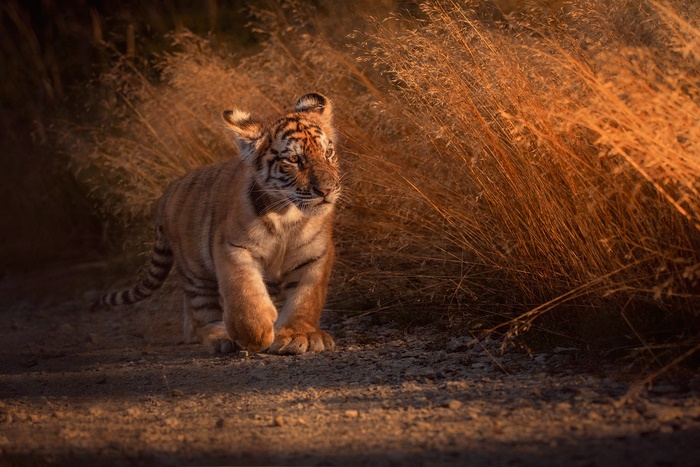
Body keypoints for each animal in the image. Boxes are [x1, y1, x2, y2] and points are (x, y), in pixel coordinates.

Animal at [98, 93, 339, 355]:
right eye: (294, 159)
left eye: (328, 153)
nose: (326, 190)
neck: (287, 215)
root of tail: (165, 197)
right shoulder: (232, 248)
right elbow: (243, 291)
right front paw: (256, 334)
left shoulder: (315, 255)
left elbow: (306, 297)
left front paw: (300, 334)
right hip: (195, 273)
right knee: (203, 312)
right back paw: (220, 338)